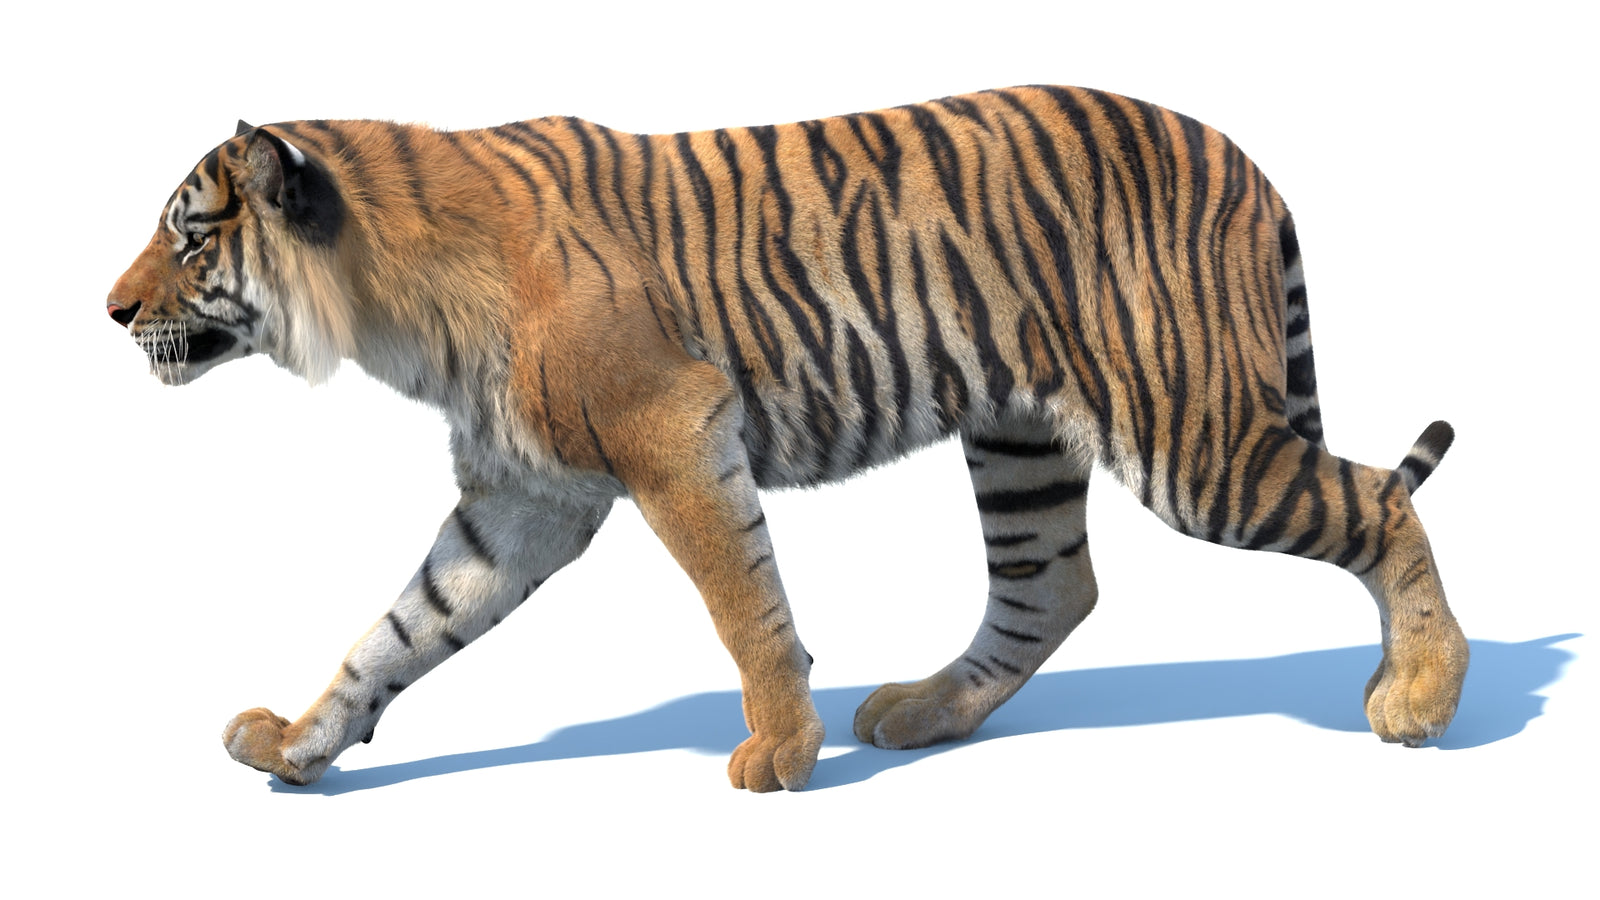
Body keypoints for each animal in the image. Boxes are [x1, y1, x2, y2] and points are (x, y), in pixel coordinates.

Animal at [107, 86, 1466, 792]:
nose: (110, 311)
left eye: (188, 236)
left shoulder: (673, 430)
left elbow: (741, 598)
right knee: (1052, 588)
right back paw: (920, 713)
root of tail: (1240, 151)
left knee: (1378, 503)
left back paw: (1419, 698)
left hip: (1192, 436)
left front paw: (778, 748)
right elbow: (400, 627)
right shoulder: (522, 499)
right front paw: (300, 744)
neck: (388, 308)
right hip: (1020, 436)